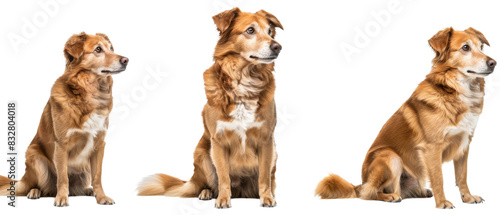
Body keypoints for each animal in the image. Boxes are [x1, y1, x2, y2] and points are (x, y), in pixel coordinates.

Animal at [0, 32, 129, 207]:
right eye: (98, 49)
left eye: (111, 49)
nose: (126, 60)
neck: (89, 93)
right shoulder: (61, 145)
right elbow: (62, 177)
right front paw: (61, 198)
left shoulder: (99, 144)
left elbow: (98, 177)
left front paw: (101, 197)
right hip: (35, 158)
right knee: (39, 186)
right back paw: (35, 192)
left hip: (85, 169)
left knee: (74, 189)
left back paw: (88, 191)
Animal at [139, 7, 284, 208]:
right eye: (250, 30)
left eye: (270, 32)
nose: (277, 46)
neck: (245, 78)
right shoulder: (218, 141)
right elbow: (223, 176)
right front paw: (222, 199)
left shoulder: (266, 140)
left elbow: (264, 176)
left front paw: (267, 197)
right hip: (203, 154)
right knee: (207, 183)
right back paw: (207, 193)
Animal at [316, 27, 496, 209]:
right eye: (465, 47)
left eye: (481, 47)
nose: (493, 63)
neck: (453, 90)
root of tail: (361, 183)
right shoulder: (432, 147)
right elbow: (438, 178)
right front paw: (442, 203)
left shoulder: (464, 143)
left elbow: (462, 176)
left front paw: (468, 197)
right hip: (390, 156)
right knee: (369, 193)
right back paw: (390, 196)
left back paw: (421, 192)